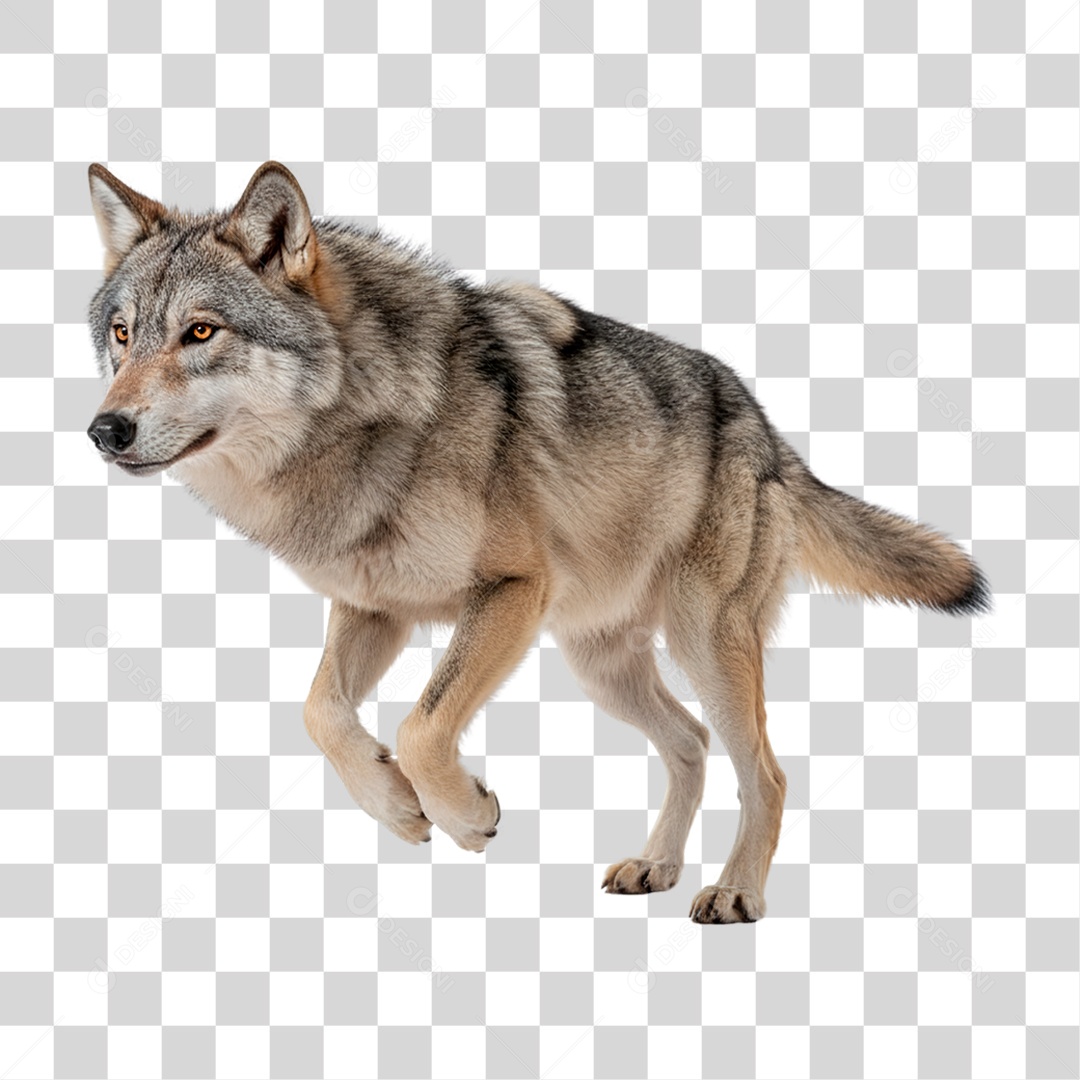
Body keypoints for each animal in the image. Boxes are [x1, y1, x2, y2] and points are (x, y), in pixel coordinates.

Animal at [86, 161, 991, 923]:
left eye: (201, 333)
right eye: (124, 335)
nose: (105, 429)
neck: (367, 423)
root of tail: (768, 432)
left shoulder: (510, 592)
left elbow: (421, 728)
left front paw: (463, 814)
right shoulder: (375, 609)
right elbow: (321, 713)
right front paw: (399, 808)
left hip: (704, 644)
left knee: (764, 772)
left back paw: (735, 893)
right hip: (601, 666)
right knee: (691, 745)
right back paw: (657, 868)